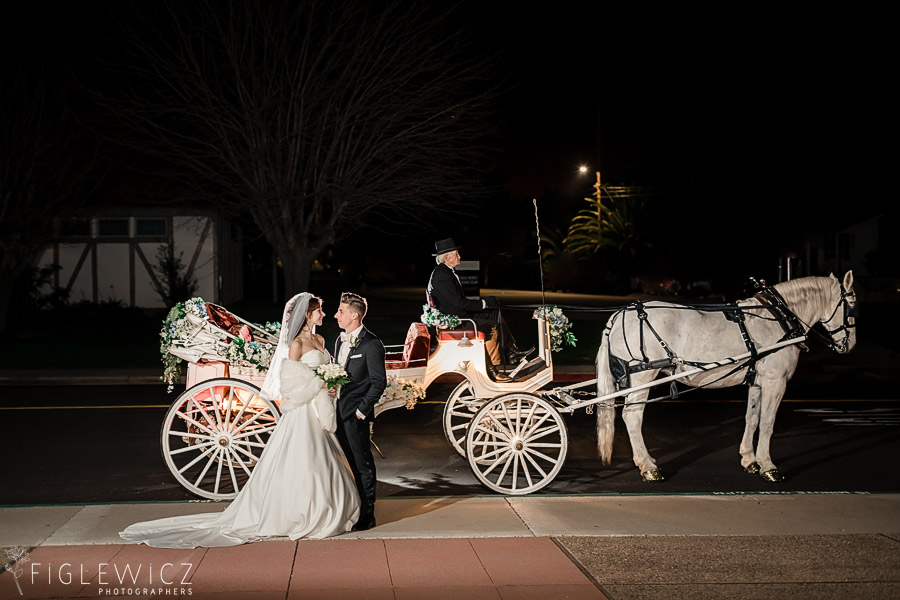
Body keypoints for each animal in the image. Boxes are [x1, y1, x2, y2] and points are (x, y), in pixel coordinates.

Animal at [596, 272, 856, 482]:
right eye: (853, 306)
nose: (849, 345)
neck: (779, 317)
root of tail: (619, 315)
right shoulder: (776, 381)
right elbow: (768, 423)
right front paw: (768, 467)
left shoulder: (757, 382)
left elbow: (752, 418)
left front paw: (750, 460)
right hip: (643, 376)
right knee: (632, 416)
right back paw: (648, 466)